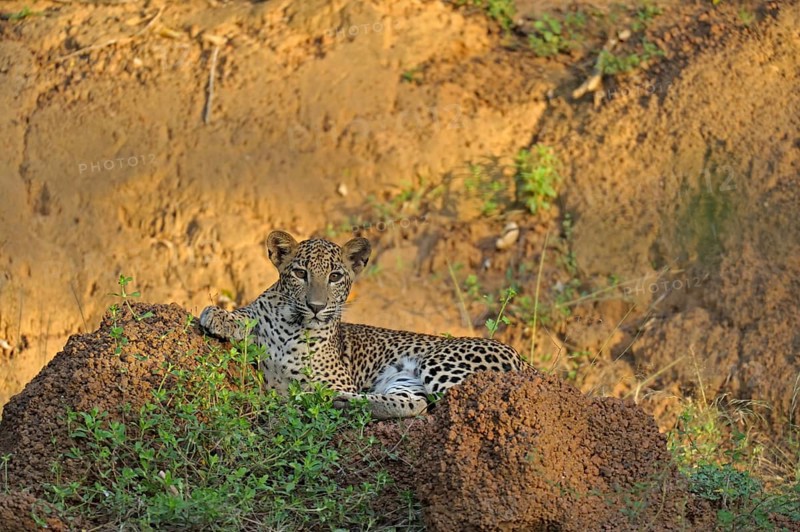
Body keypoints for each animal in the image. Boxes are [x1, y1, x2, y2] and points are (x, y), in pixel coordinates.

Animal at [199, 230, 522, 419]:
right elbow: (247, 316)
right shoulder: (261, 316)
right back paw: (340, 401)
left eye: (335, 277)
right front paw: (216, 316)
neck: (293, 326)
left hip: (439, 362)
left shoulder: (338, 377)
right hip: (404, 380)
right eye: (301, 273)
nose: (316, 307)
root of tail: (524, 360)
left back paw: (328, 398)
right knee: (412, 403)